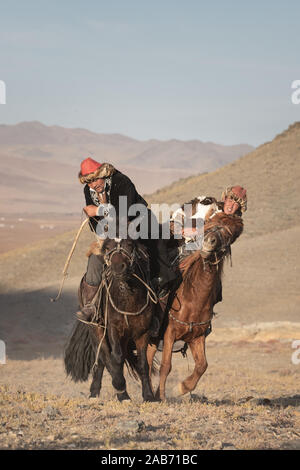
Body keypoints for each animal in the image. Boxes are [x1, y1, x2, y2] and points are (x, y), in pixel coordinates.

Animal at [63, 237, 157, 402]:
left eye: (129, 244)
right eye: (107, 248)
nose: (118, 267)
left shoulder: (142, 332)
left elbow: (143, 363)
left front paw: (148, 396)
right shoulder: (113, 328)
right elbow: (116, 358)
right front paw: (121, 390)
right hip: (96, 328)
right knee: (103, 357)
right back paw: (99, 392)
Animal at [148, 213, 244, 400]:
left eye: (230, 233)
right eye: (210, 224)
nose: (209, 241)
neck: (192, 300)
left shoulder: (196, 337)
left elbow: (202, 365)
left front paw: (181, 388)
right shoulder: (170, 334)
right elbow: (166, 366)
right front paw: (162, 397)